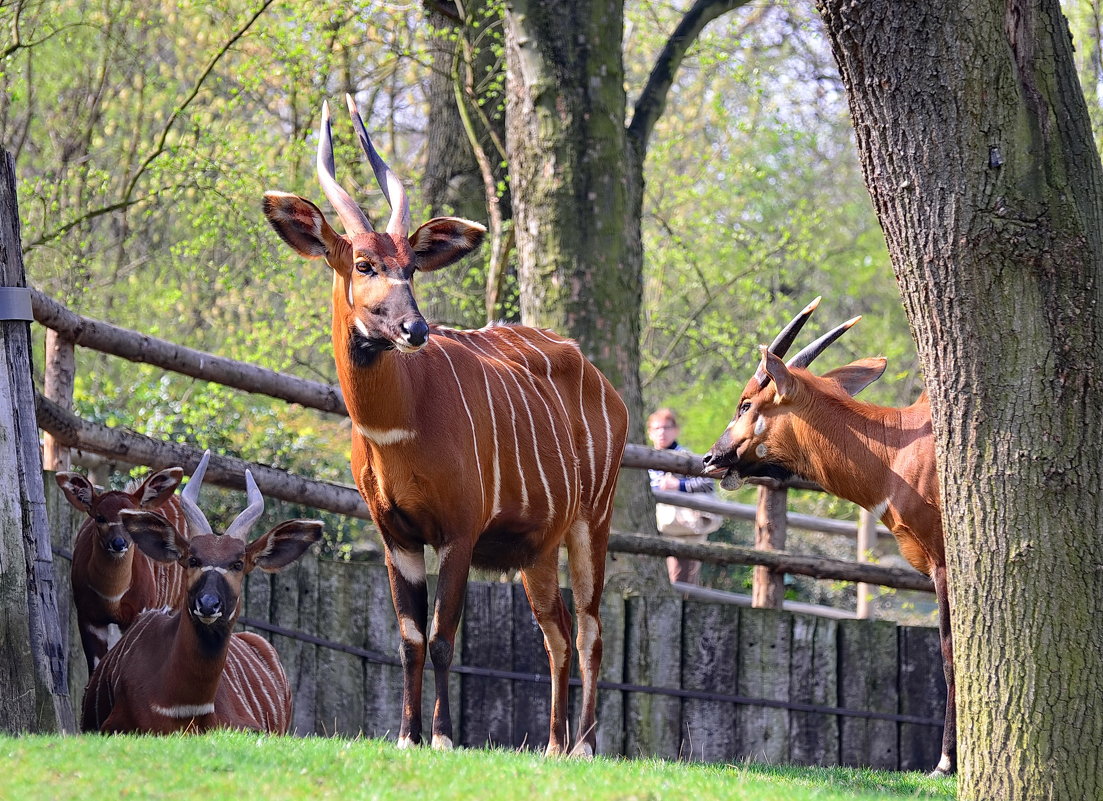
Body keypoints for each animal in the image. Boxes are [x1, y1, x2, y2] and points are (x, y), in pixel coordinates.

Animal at [260, 95, 630, 759]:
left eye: (413, 267)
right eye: (363, 263)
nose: (415, 328)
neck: (400, 426)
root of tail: (600, 379)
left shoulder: (459, 532)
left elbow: (441, 635)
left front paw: (441, 735)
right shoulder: (397, 537)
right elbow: (409, 635)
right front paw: (406, 734)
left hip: (592, 523)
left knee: (590, 628)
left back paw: (586, 747)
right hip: (538, 552)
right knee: (557, 632)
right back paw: (554, 745)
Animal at [705, 297, 957, 776]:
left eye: (746, 404)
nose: (711, 457)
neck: (896, 451)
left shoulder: (944, 566)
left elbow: (950, 653)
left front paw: (945, 763)